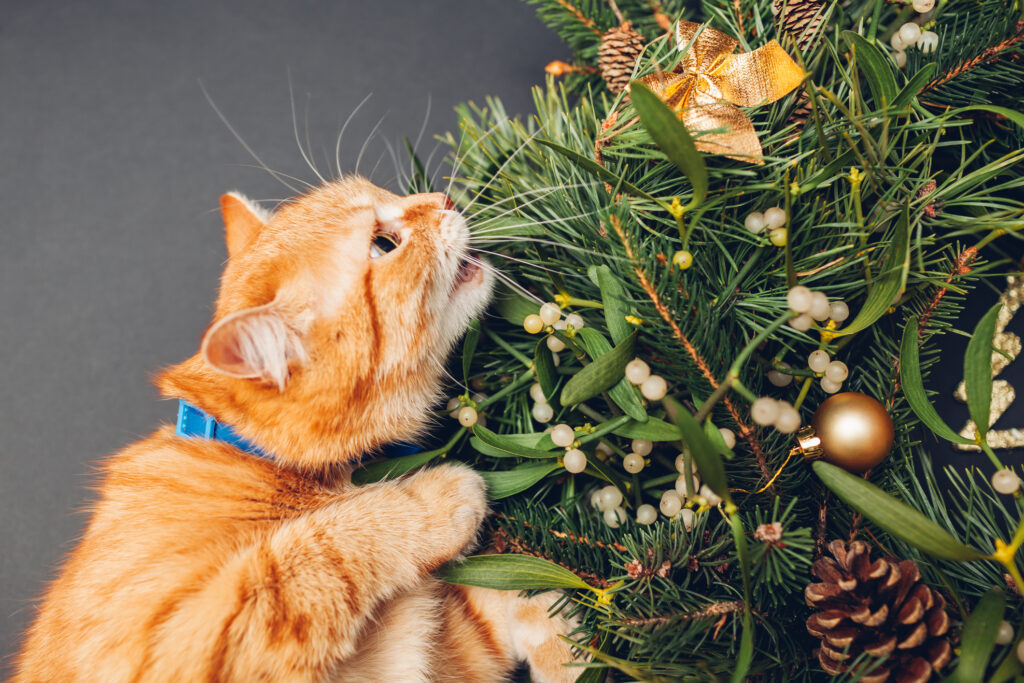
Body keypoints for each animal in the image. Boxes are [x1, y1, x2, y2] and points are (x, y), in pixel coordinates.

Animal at [12, 179, 581, 679]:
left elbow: (514, 594)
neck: (257, 458)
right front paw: (436, 498)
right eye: (384, 243)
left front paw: (568, 642)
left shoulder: (437, 647)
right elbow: (319, 547)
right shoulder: (191, 639)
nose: (443, 197)